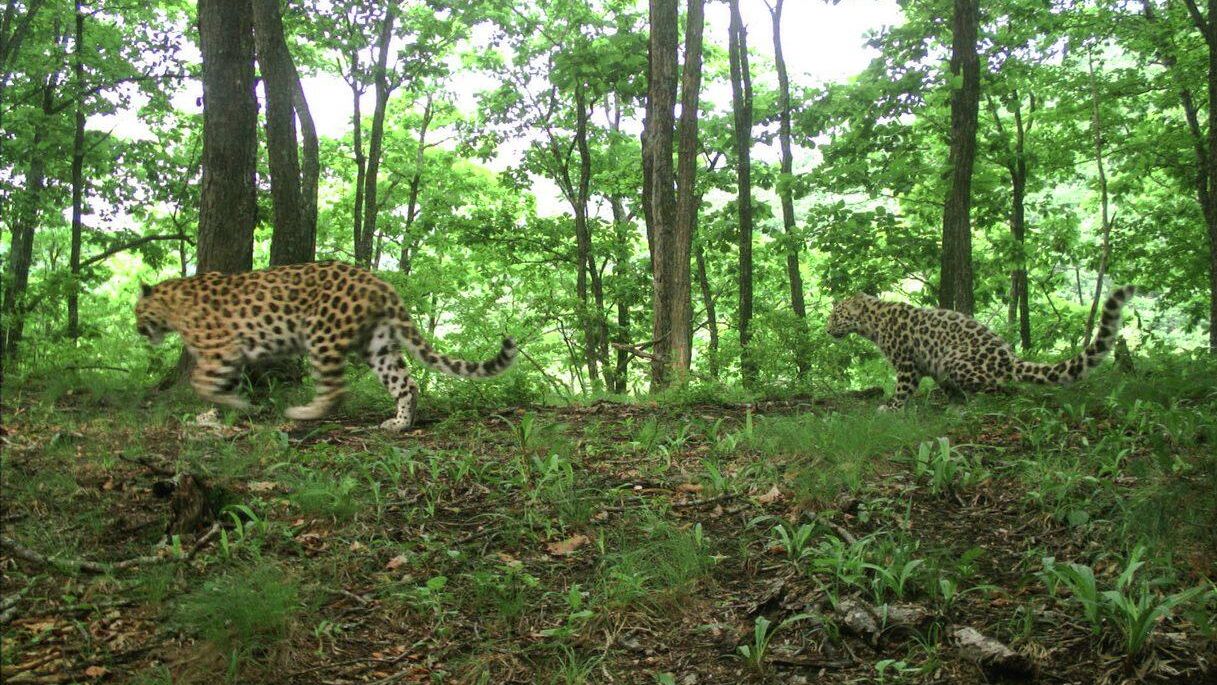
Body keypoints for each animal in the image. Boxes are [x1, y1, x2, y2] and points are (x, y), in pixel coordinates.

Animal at [138, 260, 518, 430]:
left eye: (137, 310)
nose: (137, 328)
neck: (172, 305)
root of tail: (378, 281)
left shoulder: (221, 350)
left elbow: (201, 382)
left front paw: (234, 406)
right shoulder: (228, 357)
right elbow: (216, 385)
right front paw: (213, 414)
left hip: (322, 333)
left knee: (335, 389)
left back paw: (303, 414)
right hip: (378, 344)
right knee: (406, 384)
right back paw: (400, 424)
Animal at [822, 282, 1134, 406]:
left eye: (836, 316)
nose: (826, 330)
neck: (872, 323)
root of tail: (1009, 358)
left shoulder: (907, 363)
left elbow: (901, 390)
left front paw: (890, 409)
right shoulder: (931, 366)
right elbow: (946, 389)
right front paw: (952, 406)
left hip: (957, 360)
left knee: (1001, 390)